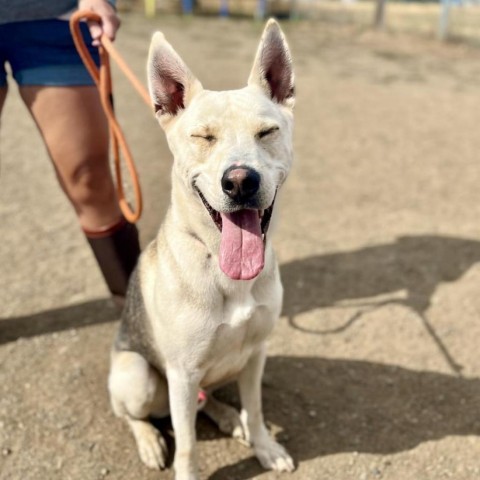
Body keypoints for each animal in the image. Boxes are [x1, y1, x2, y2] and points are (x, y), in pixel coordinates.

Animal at [109, 19, 296, 480]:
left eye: (267, 132)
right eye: (203, 136)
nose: (240, 181)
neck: (222, 268)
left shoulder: (256, 353)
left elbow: (256, 409)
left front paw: (265, 446)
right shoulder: (182, 372)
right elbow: (188, 443)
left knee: (207, 401)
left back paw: (230, 418)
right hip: (139, 376)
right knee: (133, 414)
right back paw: (150, 440)